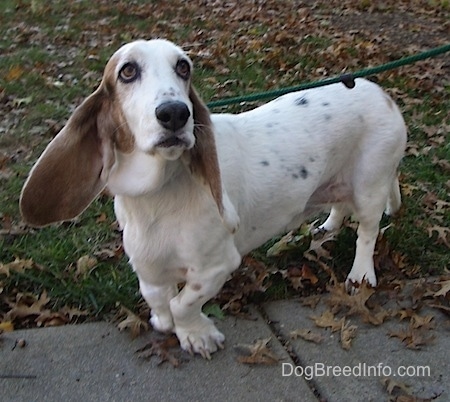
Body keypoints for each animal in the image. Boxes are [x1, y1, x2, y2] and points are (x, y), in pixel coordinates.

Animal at [20, 38, 408, 358]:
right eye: (127, 70)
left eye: (184, 67)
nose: (175, 113)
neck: (156, 196)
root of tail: (382, 93)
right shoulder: (148, 268)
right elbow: (158, 298)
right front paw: (166, 322)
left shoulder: (216, 266)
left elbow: (183, 304)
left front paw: (197, 335)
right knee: (340, 206)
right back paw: (325, 228)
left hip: (370, 185)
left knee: (367, 233)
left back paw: (360, 275)